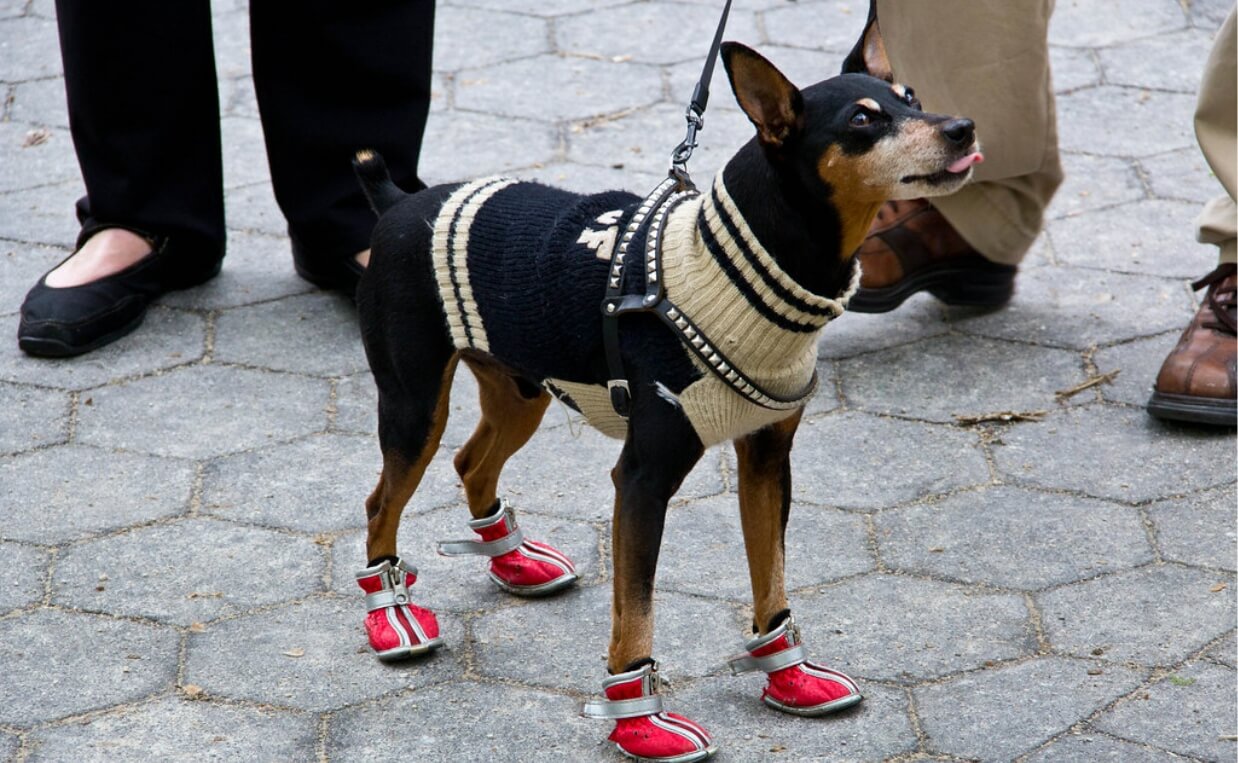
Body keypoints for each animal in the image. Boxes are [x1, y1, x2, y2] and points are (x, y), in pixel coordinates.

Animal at [346, 11, 975, 763]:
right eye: (861, 120)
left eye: (911, 97)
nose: (963, 127)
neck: (742, 270)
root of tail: (400, 202)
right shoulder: (643, 480)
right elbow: (636, 609)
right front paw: (639, 722)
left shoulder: (767, 461)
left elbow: (771, 575)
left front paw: (788, 676)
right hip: (414, 405)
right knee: (382, 501)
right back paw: (392, 616)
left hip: (520, 388)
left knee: (472, 461)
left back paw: (513, 560)